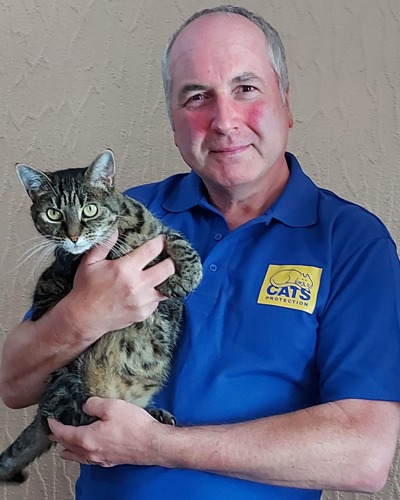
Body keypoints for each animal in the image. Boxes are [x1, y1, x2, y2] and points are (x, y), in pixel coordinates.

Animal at [0, 149, 202, 484]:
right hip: (68, 380)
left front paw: (189, 273)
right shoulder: (66, 270)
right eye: (53, 214)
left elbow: (176, 238)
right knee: (74, 418)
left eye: (90, 209)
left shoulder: (156, 230)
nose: (73, 237)